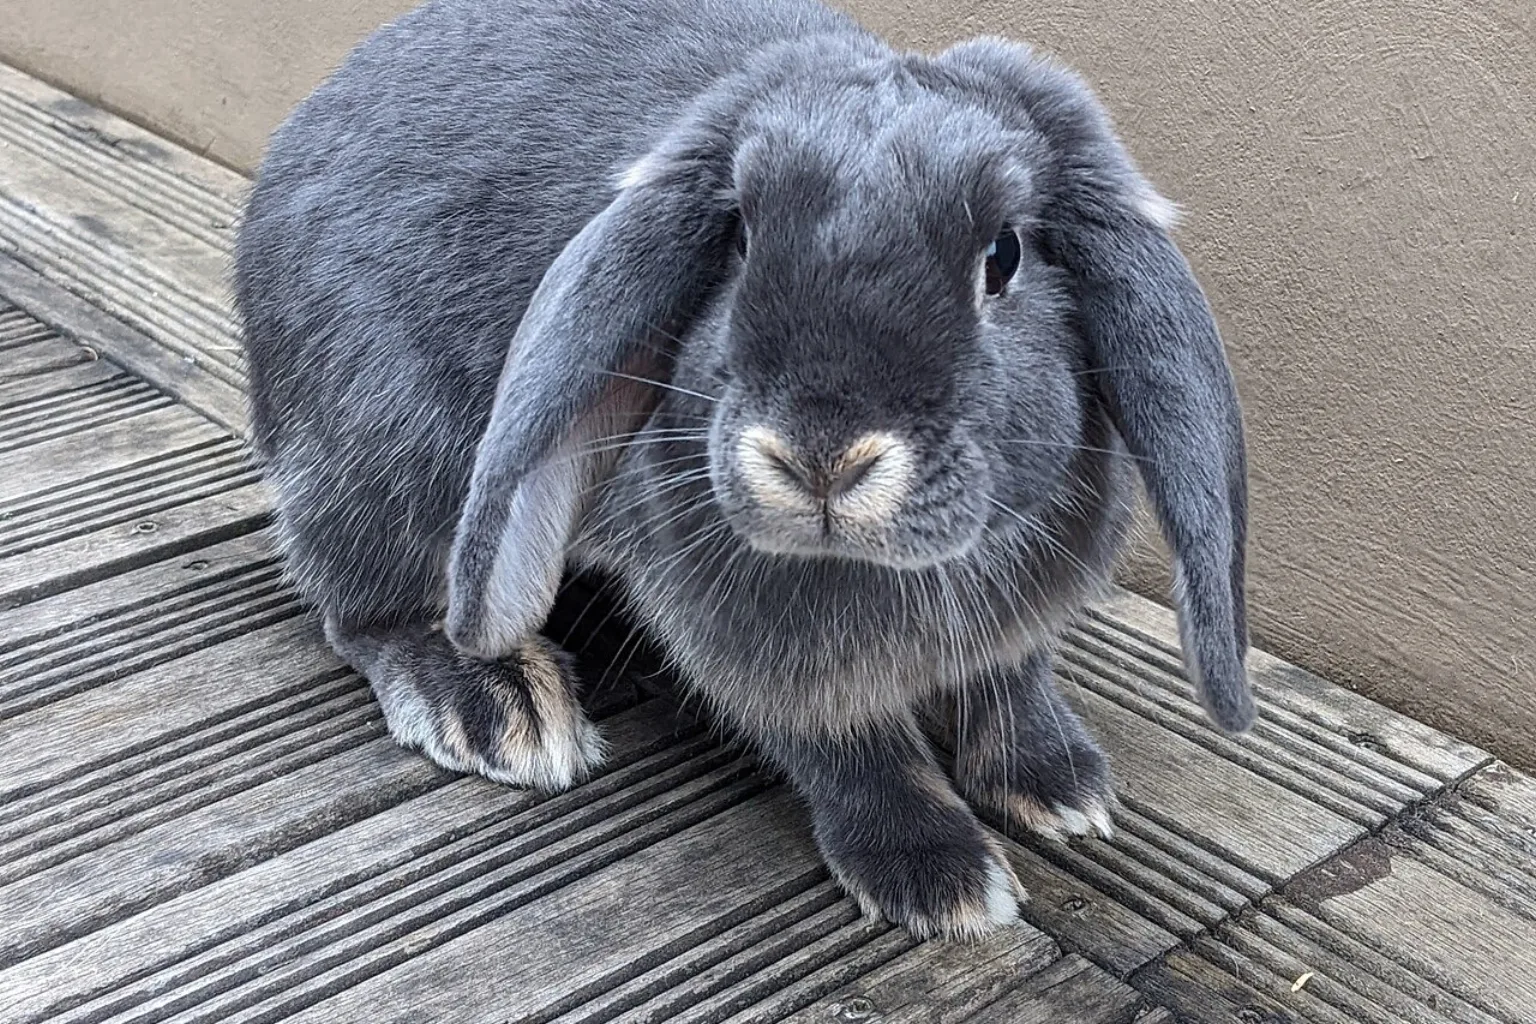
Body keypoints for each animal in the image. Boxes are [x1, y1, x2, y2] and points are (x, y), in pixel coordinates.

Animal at [233, 0, 1252, 940]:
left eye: (1002, 256)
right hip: (388, 458)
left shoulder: (1023, 615)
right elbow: (846, 744)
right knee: (362, 606)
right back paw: (493, 703)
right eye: (741, 240)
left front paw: (1059, 786)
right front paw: (939, 876)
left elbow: (1016, 677)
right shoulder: (759, 650)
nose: (821, 456)